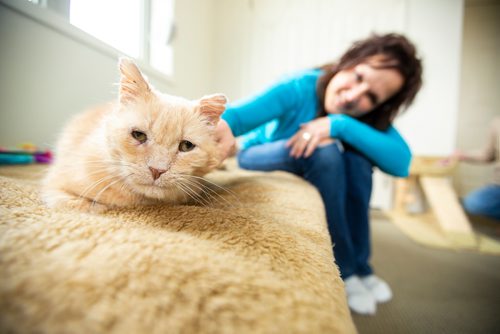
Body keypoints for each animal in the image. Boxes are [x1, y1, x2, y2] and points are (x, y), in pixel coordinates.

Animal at [43, 57, 227, 211]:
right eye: (138, 135)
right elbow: (84, 205)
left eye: (186, 146)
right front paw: (98, 207)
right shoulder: (55, 184)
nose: (157, 170)